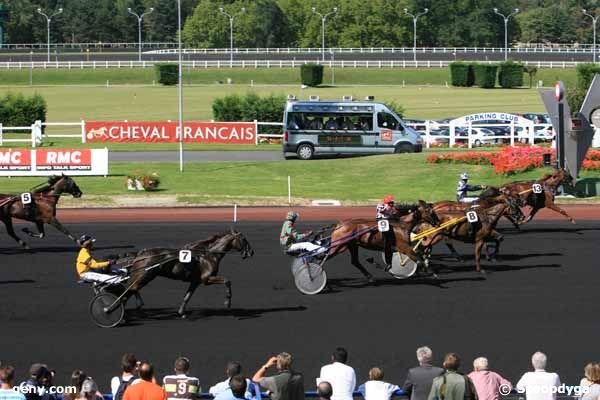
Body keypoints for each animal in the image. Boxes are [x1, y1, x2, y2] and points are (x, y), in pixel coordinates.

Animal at [124, 230, 253, 318]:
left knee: (130, 289)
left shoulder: (195, 282)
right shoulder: (206, 279)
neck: (209, 256)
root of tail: (141, 254)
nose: (251, 252)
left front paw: (181, 313)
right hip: (146, 275)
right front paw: (227, 303)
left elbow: (187, 297)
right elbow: (227, 281)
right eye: (244, 239)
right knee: (131, 288)